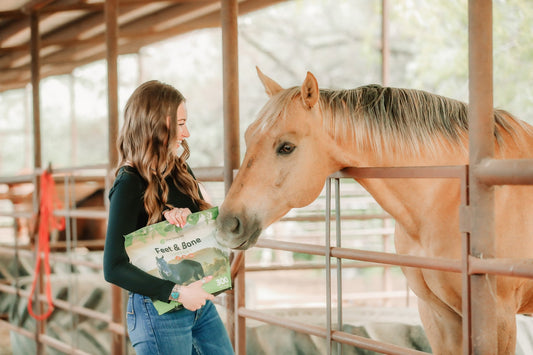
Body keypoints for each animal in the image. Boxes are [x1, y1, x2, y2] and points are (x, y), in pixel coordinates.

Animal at [216, 68, 532, 354]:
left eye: (286, 147)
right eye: (248, 137)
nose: (228, 225)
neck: (452, 194)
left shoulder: (497, 320)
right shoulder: (439, 316)